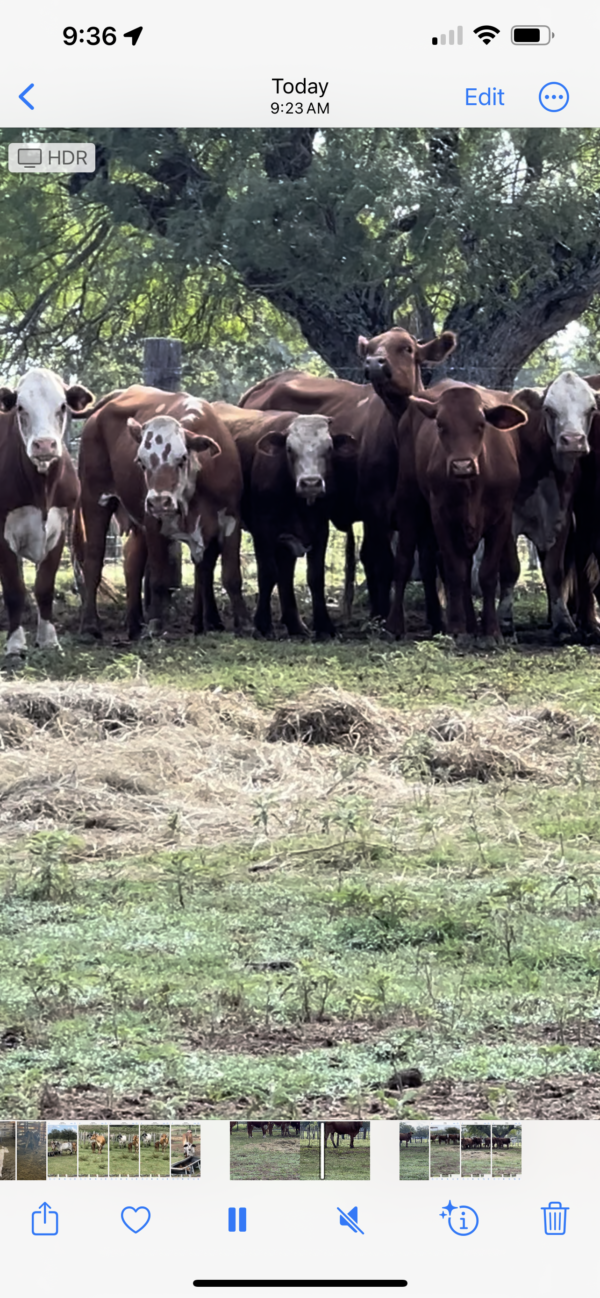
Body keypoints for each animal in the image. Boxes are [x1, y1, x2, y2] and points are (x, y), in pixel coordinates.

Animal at [0, 371, 92, 659]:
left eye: (62, 406)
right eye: (20, 408)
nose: (44, 445)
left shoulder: (59, 528)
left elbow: (44, 587)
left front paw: (49, 639)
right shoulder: (2, 530)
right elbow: (14, 589)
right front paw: (15, 644)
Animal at [78, 389, 249, 643]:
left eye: (182, 459)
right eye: (141, 462)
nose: (159, 501)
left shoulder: (230, 520)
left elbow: (231, 576)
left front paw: (244, 624)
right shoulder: (154, 523)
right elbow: (159, 581)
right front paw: (156, 624)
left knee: (132, 561)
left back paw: (134, 624)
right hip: (94, 500)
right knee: (93, 561)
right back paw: (90, 624)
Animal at [215, 397, 355, 636]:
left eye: (328, 448)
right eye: (290, 449)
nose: (311, 483)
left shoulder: (320, 529)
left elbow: (314, 577)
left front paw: (324, 626)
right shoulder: (263, 530)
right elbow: (268, 573)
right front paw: (262, 625)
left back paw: (295, 624)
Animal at [238, 332, 454, 620]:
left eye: (407, 348)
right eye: (371, 348)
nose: (374, 363)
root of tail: (268, 382)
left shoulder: (422, 510)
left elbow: (428, 564)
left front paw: (435, 619)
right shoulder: (375, 509)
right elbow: (382, 563)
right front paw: (380, 616)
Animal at [389, 381, 524, 641]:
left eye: (481, 424)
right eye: (441, 425)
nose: (462, 465)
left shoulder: (502, 517)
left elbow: (487, 573)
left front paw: (491, 630)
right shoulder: (441, 516)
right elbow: (454, 570)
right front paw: (457, 628)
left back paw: (468, 624)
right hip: (408, 500)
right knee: (403, 560)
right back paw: (396, 626)